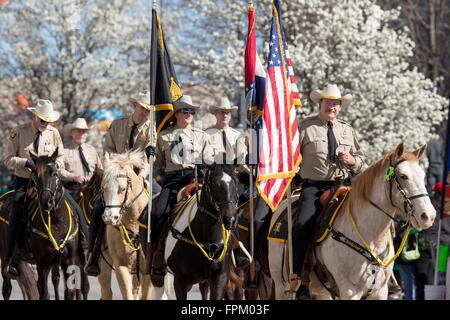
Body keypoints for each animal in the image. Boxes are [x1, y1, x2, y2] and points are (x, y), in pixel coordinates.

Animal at [268, 143, 434, 300]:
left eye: (422, 175)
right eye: (403, 176)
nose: (428, 216)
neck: (371, 236)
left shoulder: (380, 291)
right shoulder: (349, 290)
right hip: (281, 286)